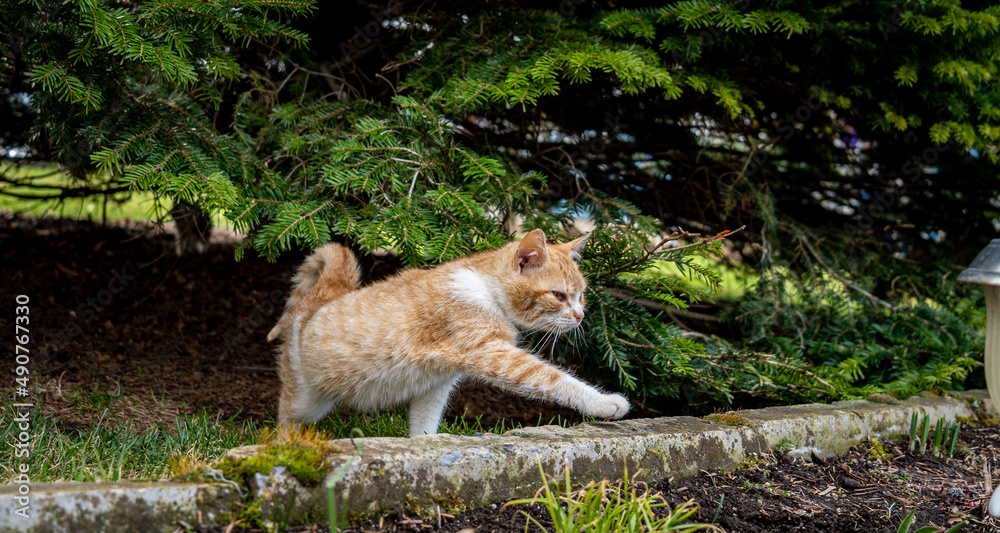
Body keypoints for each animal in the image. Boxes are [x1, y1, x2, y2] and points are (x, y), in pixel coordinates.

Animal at [266, 230, 624, 436]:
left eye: (581, 296)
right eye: (559, 296)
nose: (579, 316)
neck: (486, 291)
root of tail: (322, 298)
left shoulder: (436, 382)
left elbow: (424, 424)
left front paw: (423, 447)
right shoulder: (492, 353)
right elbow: (554, 379)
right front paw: (605, 403)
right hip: (306, 400)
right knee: (285, 415)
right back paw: (286, 447)